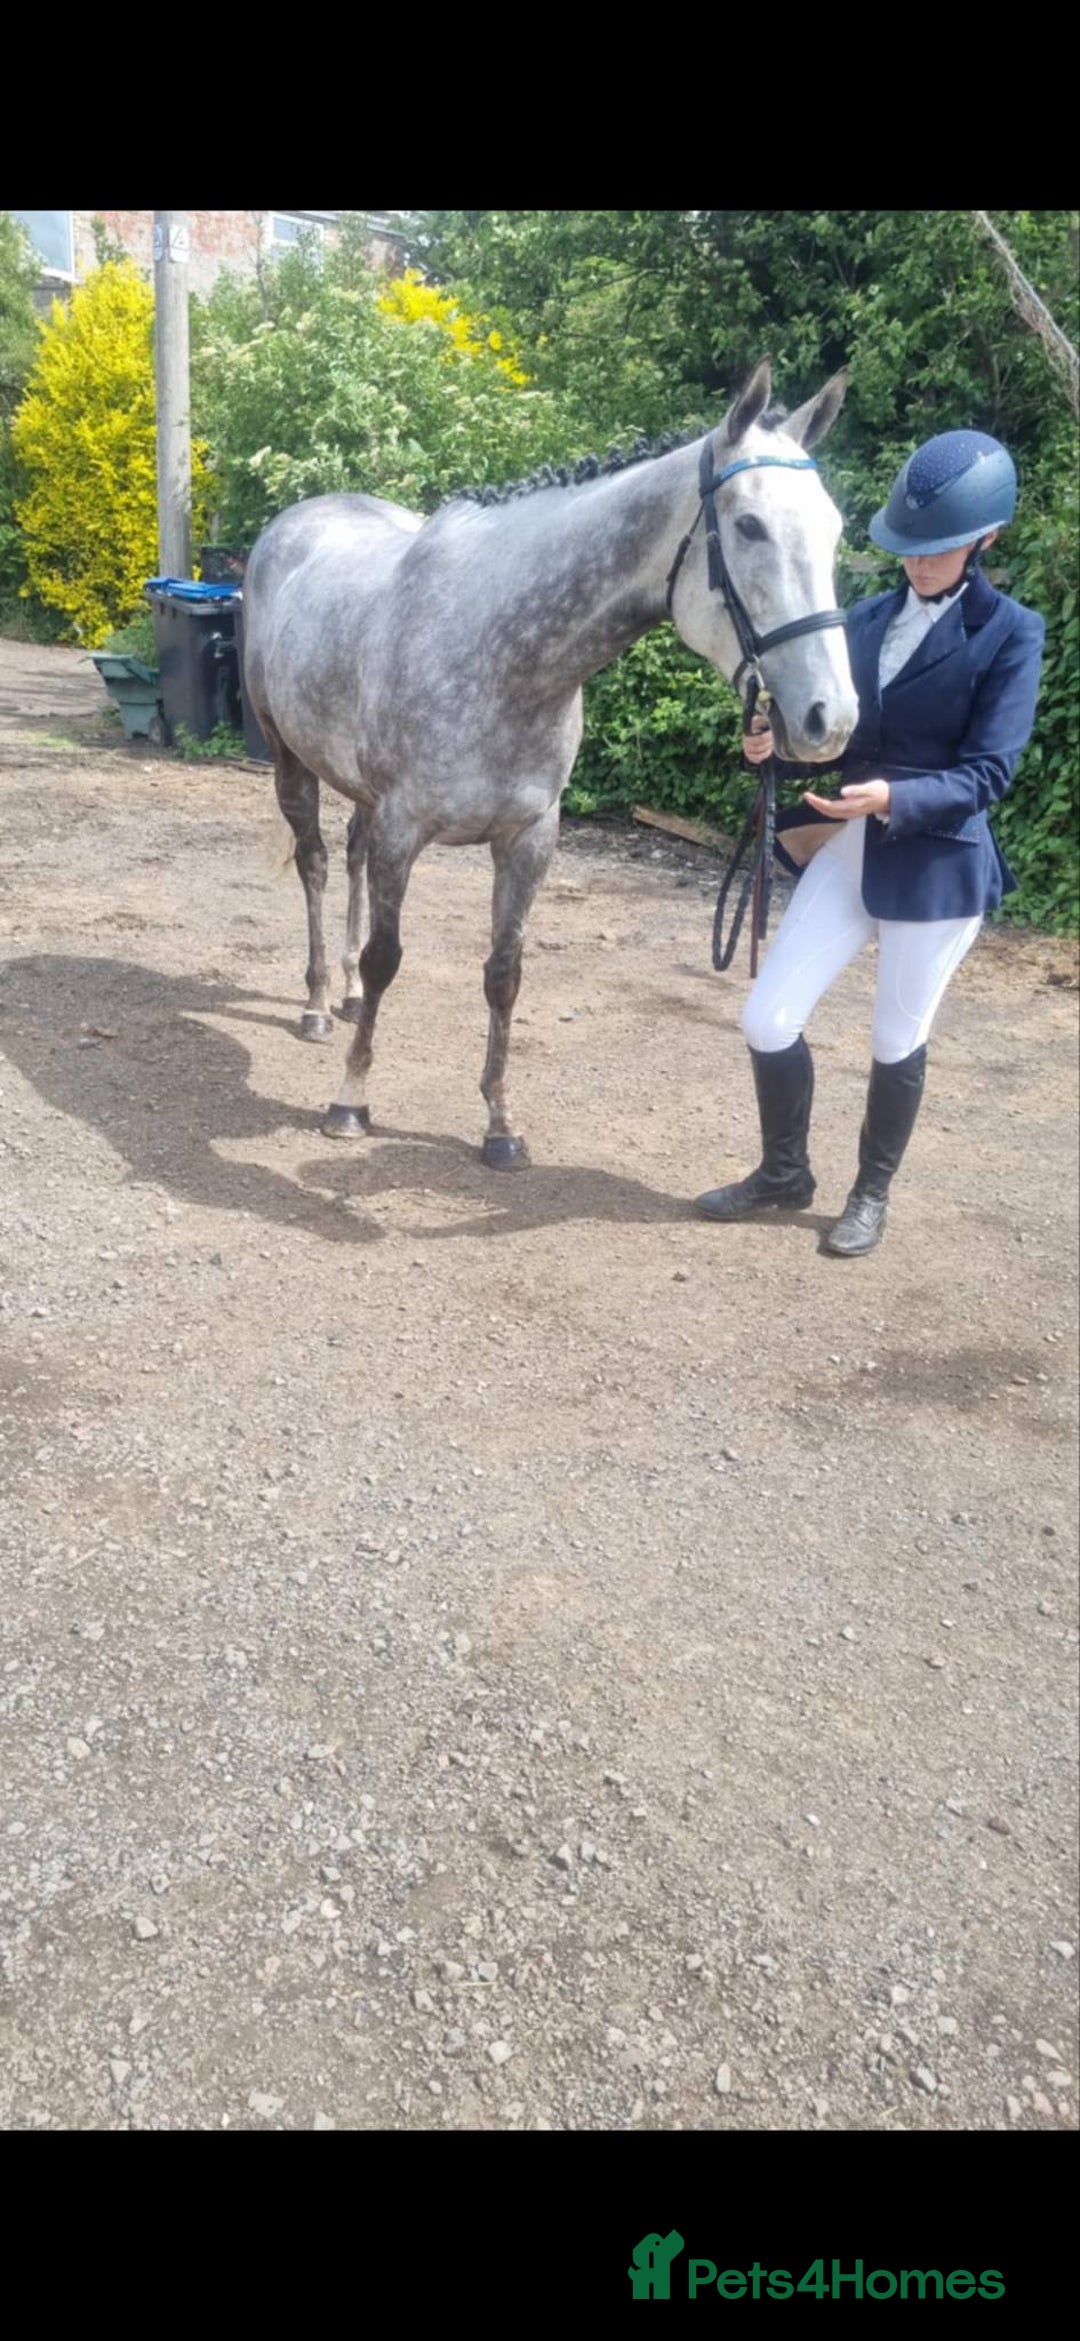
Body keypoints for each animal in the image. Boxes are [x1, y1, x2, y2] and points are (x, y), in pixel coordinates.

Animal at [241, 357, 857, 1165]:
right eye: (750, 525)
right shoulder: (404, 831)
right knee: (314, 863)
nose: (830, 717)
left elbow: (504, 975)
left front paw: (500, 1124)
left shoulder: (530, 836)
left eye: (835, 528)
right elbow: (387, 958)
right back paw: (317, 1002)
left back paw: (341, 996)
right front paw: (351, 1099)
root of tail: (295, 520)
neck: (501, 651)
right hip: (290, 756)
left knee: (346, 858)